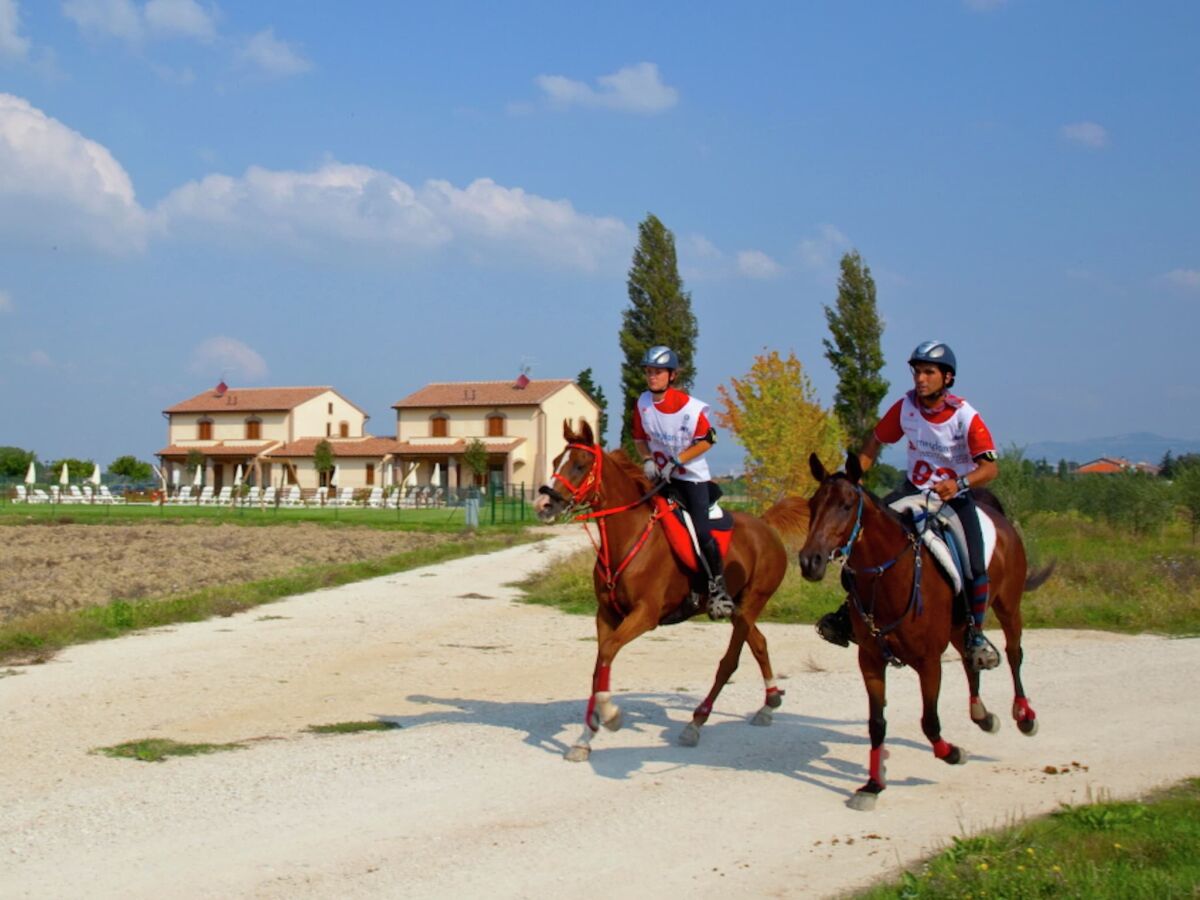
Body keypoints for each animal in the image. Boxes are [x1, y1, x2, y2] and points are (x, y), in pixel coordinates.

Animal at [537, 422, 811, 763]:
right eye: (555, 461)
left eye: (579, 465)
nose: (545, 505)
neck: (628, 537)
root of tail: (765, 526)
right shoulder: (606, 615)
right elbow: (600, 663)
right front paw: (585, 738)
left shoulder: (645, 615)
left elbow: (609, 651)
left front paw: (610, 716)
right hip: (740, 610)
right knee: (759, 643)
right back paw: (768, 704)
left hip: (752, 602)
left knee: (729, 662)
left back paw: (696, 722)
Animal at [801, 453, 1056, 816]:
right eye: (813, 504)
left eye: (847, 505)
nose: (810, 561)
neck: (891, 577)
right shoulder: (870, 660)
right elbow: (876, 723)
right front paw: (873, 785)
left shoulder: (929, 662)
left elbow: (929, 721)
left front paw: (953, 753)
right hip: (960, 626)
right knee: (968, 658)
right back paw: (982, 714)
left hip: (1008, 605)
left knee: (1013, 653)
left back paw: (1024, 716)